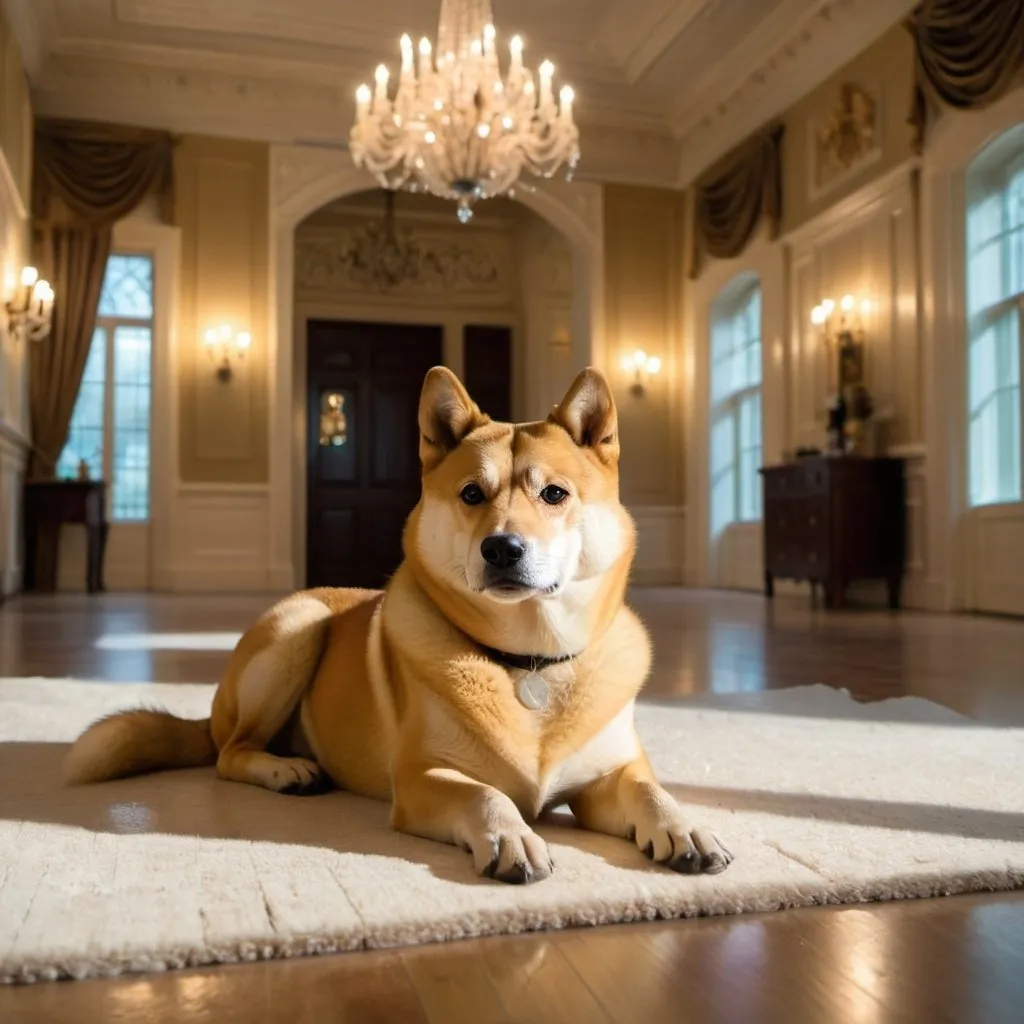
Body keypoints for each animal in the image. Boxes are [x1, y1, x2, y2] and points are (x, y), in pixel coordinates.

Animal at [64, 370, 733, 888]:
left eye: (553, 494)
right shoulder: (419, 780)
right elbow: (484, 794)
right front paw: (511, 836)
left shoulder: (607, 777)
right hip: (299, 629)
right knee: (230, 754)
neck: (526, 661)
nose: (502, 548)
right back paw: (285, 769)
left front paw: (684, 825)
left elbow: (651, 790)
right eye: (472, 493)